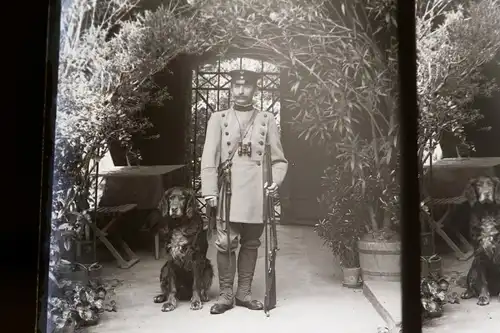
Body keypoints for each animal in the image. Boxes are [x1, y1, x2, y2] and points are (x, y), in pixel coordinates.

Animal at [460, 176, 500, 304]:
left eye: (491, 184)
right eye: (478, 185)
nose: (486, 193)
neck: (486, 210)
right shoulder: (480, 254)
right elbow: (482, 281)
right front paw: (483, 297)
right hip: (472, 268)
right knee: (471, 283)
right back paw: (467, 293)